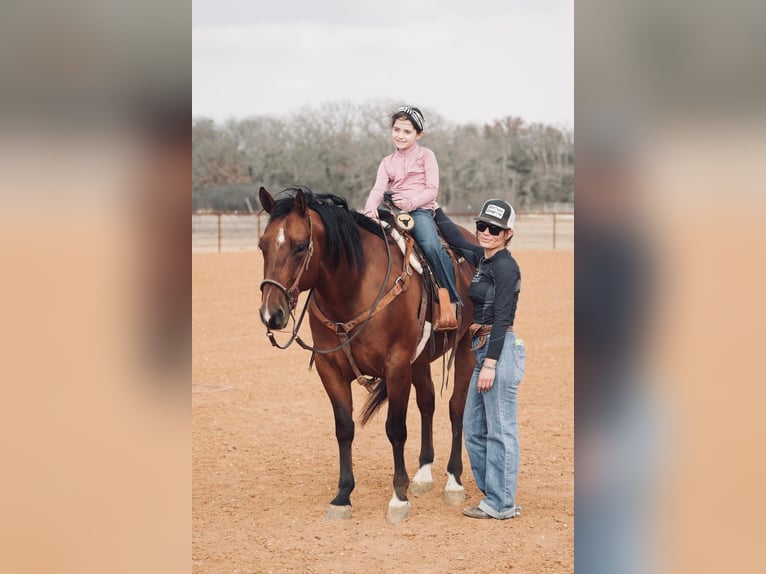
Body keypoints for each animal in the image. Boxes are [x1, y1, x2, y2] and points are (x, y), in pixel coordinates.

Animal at [260, 188, 474, 528]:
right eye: (262, 245)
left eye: (300, 246)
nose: (271, 314)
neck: (354, 289)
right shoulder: (330, 369)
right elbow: (344, 428)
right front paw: (342, 496)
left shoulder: (396, 366)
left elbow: (396, 429)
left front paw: (398, 498)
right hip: (420, 361)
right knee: (428, 403)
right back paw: (424, 474)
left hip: (468, 343)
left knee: (456, 407)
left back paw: (453, 481)